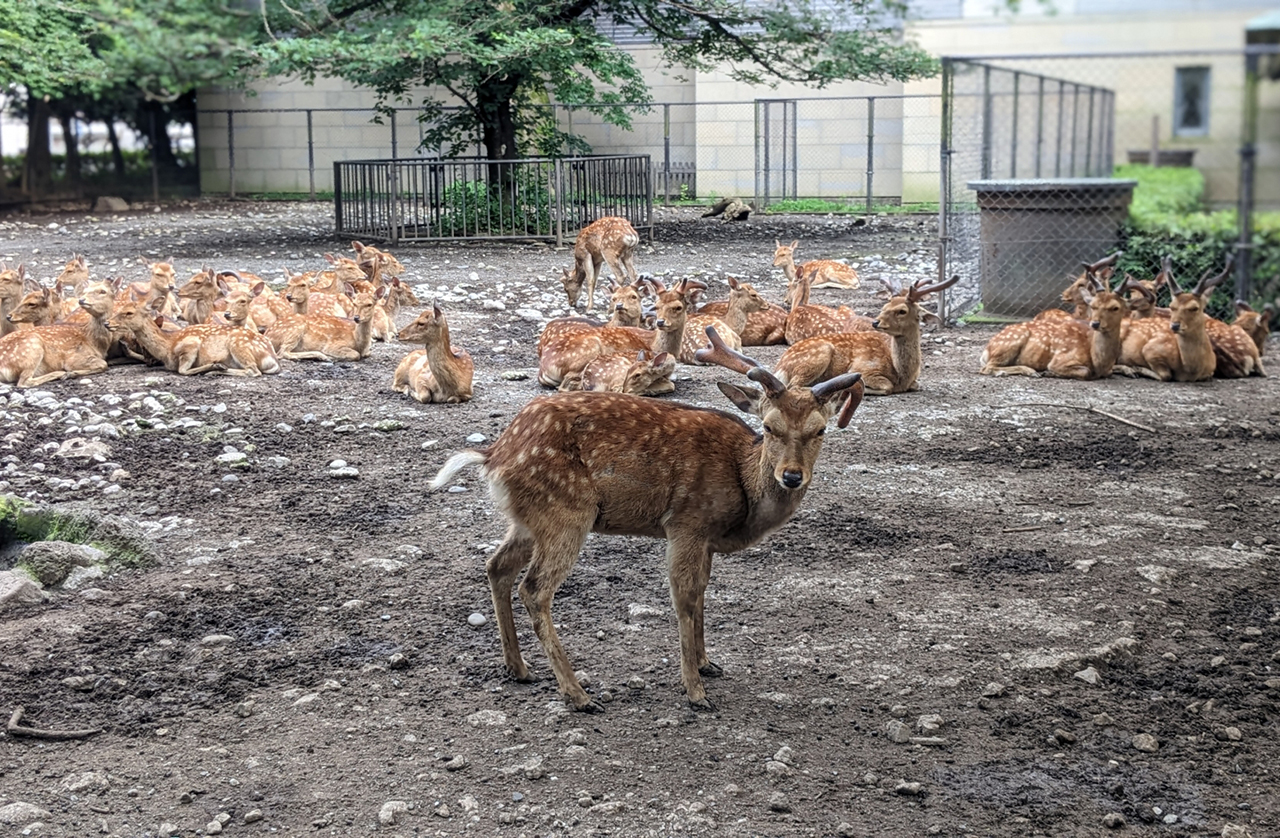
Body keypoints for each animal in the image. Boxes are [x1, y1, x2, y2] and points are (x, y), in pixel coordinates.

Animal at [109, 299, 280, 376]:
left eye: (129, 312)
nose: (107, 322)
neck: (167, 347)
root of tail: (271, 357)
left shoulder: (190, 344)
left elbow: (182, 370)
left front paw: (214, 365)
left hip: (238, 345)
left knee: (253, 371)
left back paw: (217, 369)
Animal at [429, 347, 865, 713]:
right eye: (770, 427)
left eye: (821, 430)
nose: (791, 476)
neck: (742, 489)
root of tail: (493, 456)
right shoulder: (686, 523)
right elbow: (684, 597)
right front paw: (695, 691)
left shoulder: (705, 539)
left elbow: (703, 591)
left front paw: (708, 663)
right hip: (566, 512)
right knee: (534, 588)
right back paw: (579, 694)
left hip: (527, 519)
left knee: (496, 566)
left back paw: (518, 669)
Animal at [538, 277, 700, 388]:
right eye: (657, 306)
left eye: (678, 307)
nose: (660, 322)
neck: (653, 344)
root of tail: (544, 368)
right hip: (589, 350)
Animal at [774, 275, 960, 393]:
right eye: (885, 305)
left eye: (902, 310)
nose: (876, 322)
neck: (902, 374)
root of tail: (780, 367)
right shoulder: (863, 368)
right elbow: (887, 387)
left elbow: (916, 385)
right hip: (819, 353)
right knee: (794, 386)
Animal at [980, 271, 1129, 379]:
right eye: (1093, 306)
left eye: (1115, 307)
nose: (1096, 323)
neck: (1099, 362)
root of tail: (987, 348)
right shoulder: (1060, 359)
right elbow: (1085, 372)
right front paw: (1049, 372)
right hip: (1010, 342)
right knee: (986, 368)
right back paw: (1027, 371)